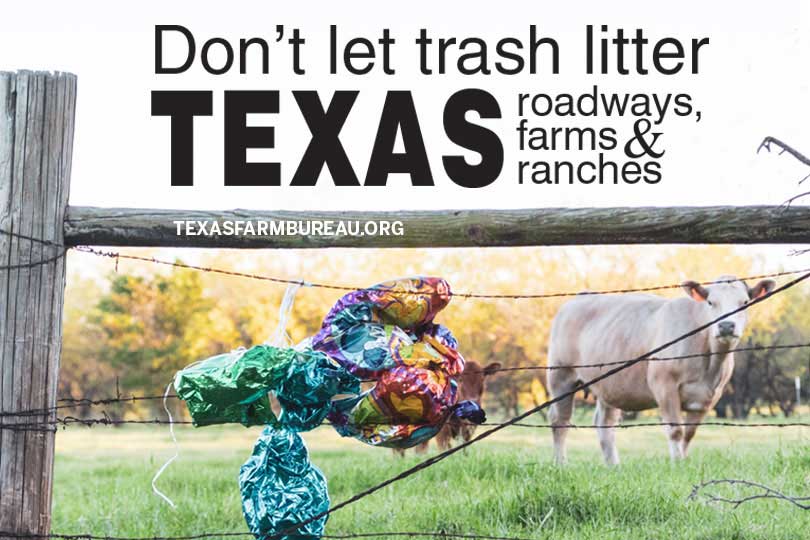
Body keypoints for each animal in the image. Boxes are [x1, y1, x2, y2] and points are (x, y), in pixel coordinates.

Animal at [548, 274, 772, 464]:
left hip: (609, 383)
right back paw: (561, 464)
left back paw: (614, 466)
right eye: (710, 302)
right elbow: (676, 430)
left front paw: (684, 460)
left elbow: (689, 434)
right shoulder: (664, 385)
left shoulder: (709, 396)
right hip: (561, 375)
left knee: (605, 424)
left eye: (745, 303)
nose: (726, 326)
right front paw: (677, 464)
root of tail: (581, 297)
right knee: (560, 420)